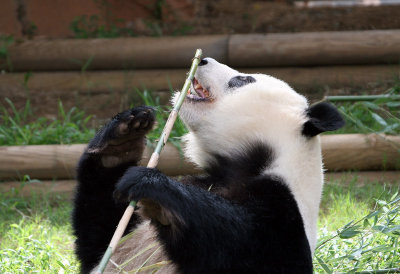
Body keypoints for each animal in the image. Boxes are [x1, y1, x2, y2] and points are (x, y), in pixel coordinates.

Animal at [71, 56, 344, 272]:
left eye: (242, 80)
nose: (202, 60)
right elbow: (99, 237)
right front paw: (121, 140)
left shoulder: (282, 211)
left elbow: (242, 246)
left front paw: (157, 194)